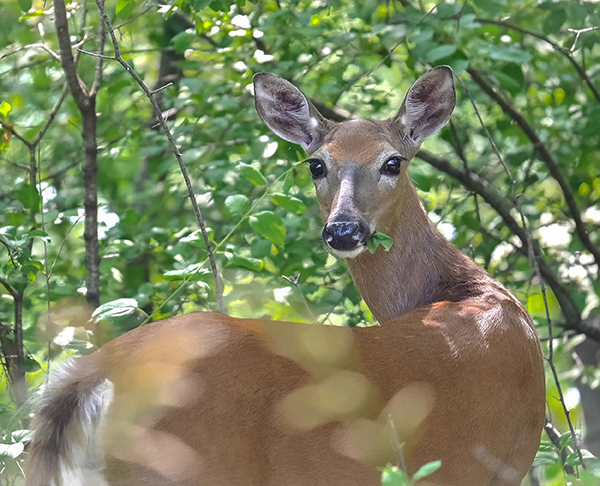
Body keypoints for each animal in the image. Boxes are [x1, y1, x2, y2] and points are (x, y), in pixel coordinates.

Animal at [25, 67, 548, 486]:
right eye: (316, 164)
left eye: (392, 162)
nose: (343, 229)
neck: (470, 292)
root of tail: (102, 368)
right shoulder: (498, 463)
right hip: (188, 465)